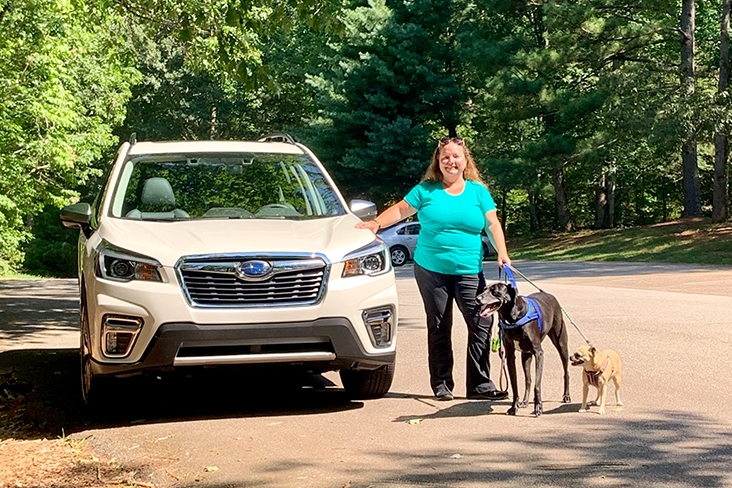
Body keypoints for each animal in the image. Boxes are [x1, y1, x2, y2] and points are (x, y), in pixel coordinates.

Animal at [478, 282, 576, 416]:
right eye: (484, 289)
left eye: (495, 291)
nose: (477, 298)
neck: (513, 318)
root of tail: (549, 294)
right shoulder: (510, 355)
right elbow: (515, 384)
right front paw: (514, 407)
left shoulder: (539, 353)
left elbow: (537, 385)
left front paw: (538, 407)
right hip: (526, 355)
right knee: (528, 379)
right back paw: (525, 401)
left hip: (561, 343)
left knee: (566, 372)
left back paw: (566, 396)